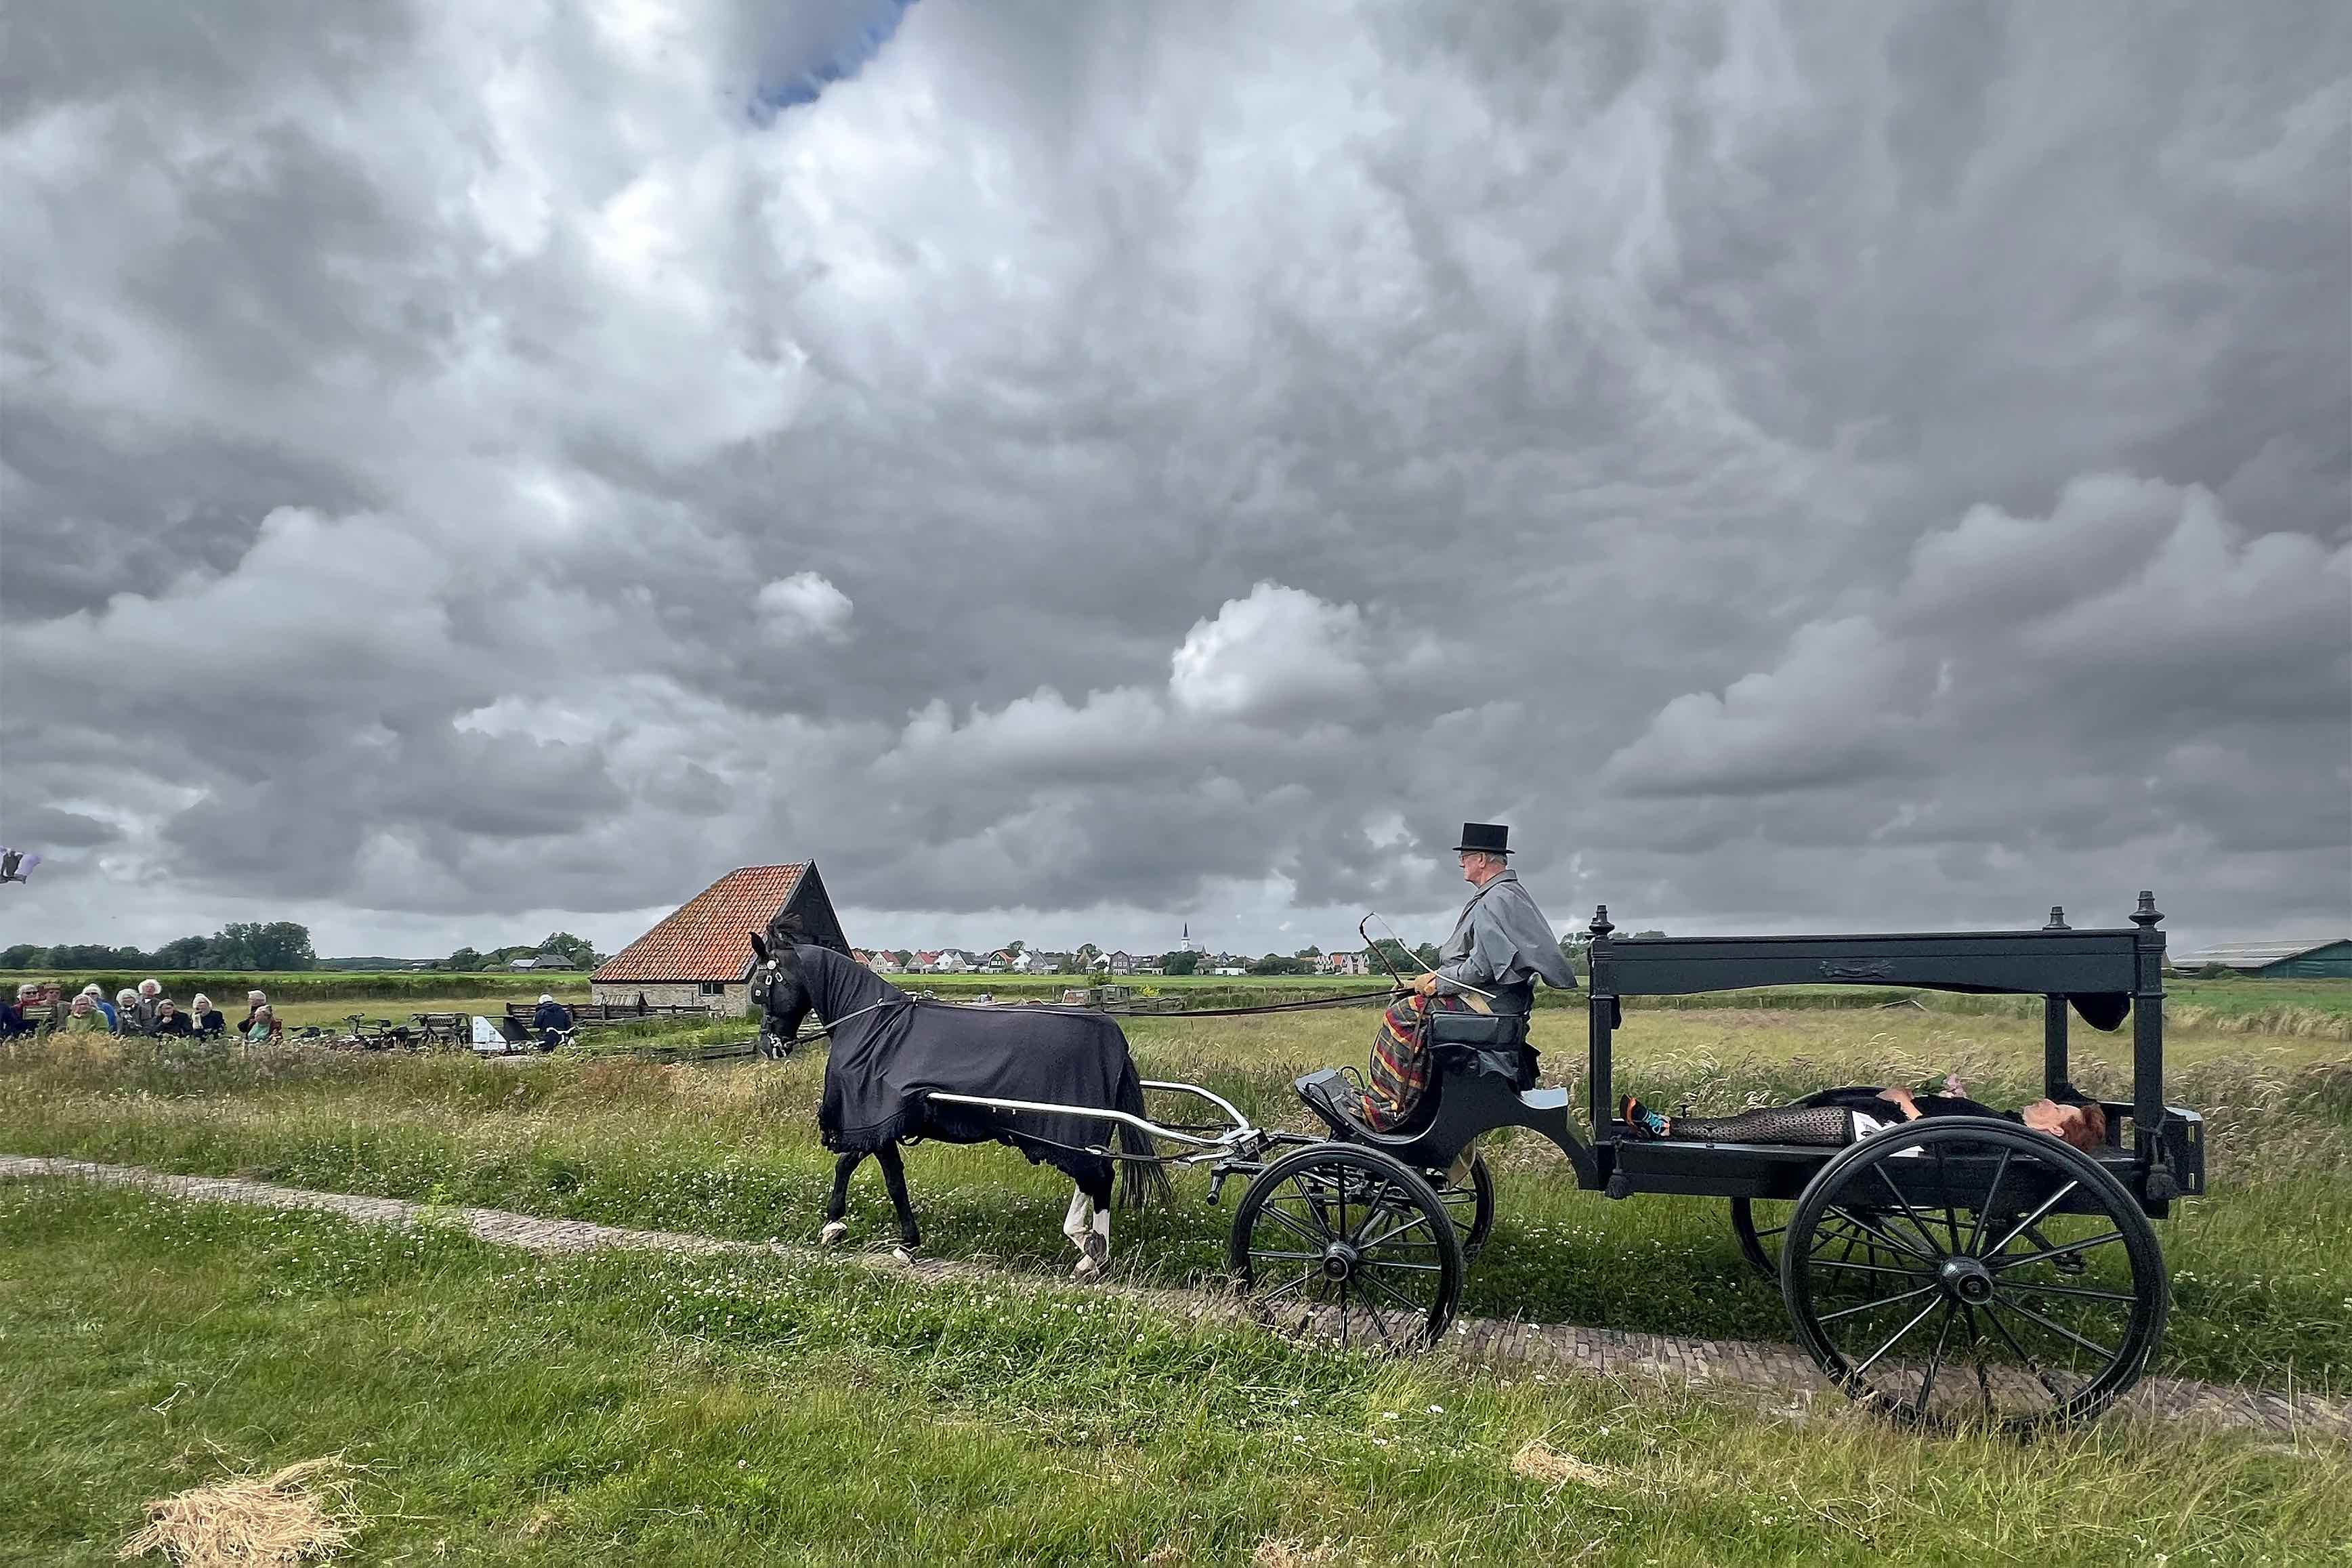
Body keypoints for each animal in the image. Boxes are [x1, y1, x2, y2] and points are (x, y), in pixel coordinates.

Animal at [743, 921, 1167, 1279]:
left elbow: (891, 1180)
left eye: (763, 985)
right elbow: (848, 1164)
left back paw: (1092, 1253)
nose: (768, 1046)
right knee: (1092, 1179)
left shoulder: (877, 1122)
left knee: (1099, 1177)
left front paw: (905, 1244)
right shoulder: (878, 1126)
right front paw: (835, 1224)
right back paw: (1086, 1243)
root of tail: (1110, 1030)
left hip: (1071, 1130)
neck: (873, 1028)